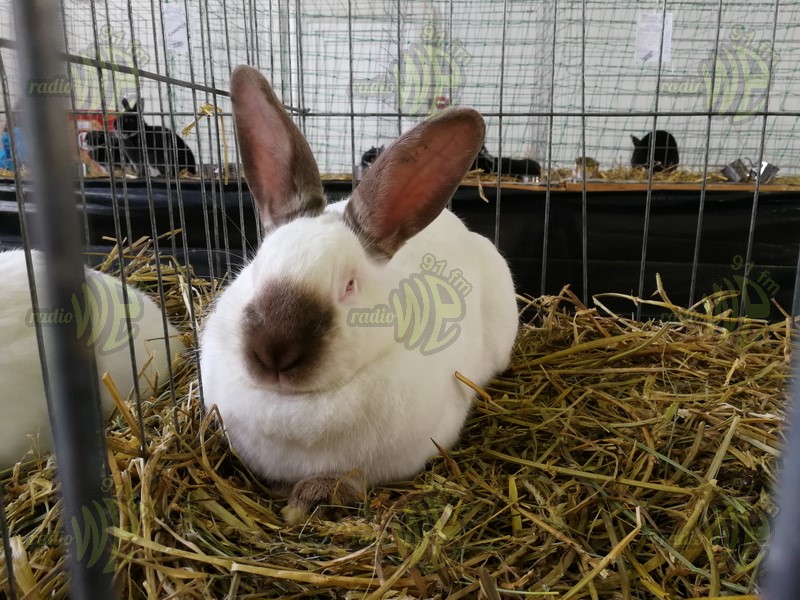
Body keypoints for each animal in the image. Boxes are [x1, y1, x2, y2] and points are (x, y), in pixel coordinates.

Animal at [198, 65, 519, 524]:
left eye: (349, 285)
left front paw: (307, 500)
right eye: (256, 266)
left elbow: (349, 481)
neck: (296, 407)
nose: (273, 352)